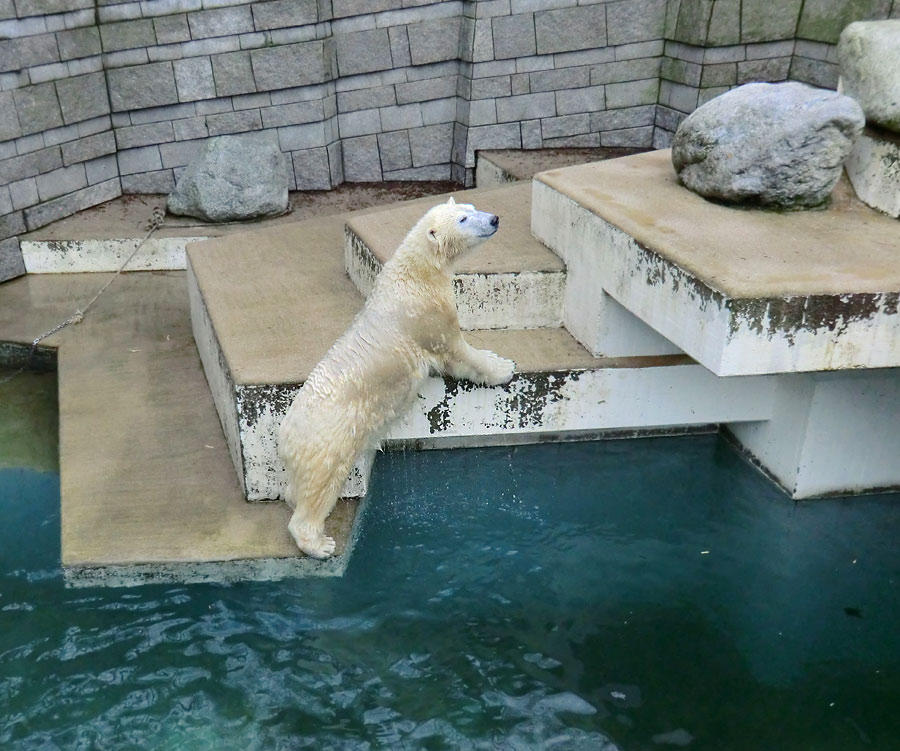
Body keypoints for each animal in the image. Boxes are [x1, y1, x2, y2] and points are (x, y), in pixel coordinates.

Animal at [278, 197, 512, 560]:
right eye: (463, 219)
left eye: (472, 207)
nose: (494, 219)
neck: (415, 273)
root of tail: (284, 436)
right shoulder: (428, 317)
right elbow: (457, 351)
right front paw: (503, 367)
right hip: (328, 439)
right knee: (321, 484)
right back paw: (318, 543)